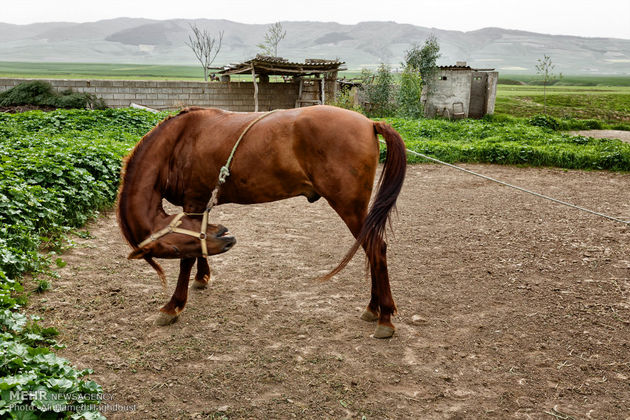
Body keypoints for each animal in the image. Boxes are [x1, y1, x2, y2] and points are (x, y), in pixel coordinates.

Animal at [116, 105, 408, 338]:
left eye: (173, 249)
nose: (226, 238)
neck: (177, 142)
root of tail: (369, 123)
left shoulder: (194, 203)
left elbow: (187, 259)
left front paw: (173, 305)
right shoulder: (199, 210)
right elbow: (200, 246)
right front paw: (202, 277)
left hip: (349, 208)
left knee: (376, 249)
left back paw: (384, 318)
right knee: (371, 249)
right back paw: (373, 308)